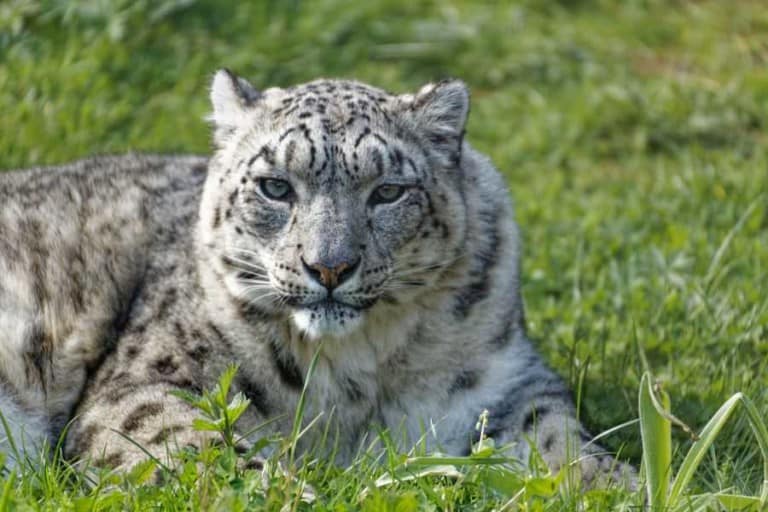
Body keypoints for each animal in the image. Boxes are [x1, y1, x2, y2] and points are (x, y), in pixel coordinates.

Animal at [0, 71, 632, 484]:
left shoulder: (504, 383)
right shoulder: (149, 383)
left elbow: (561, 439)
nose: (330, 265)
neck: (355, 374)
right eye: (276, 187)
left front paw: (619, 485)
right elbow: (198, 447)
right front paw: (279, 491)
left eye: (388, 191)